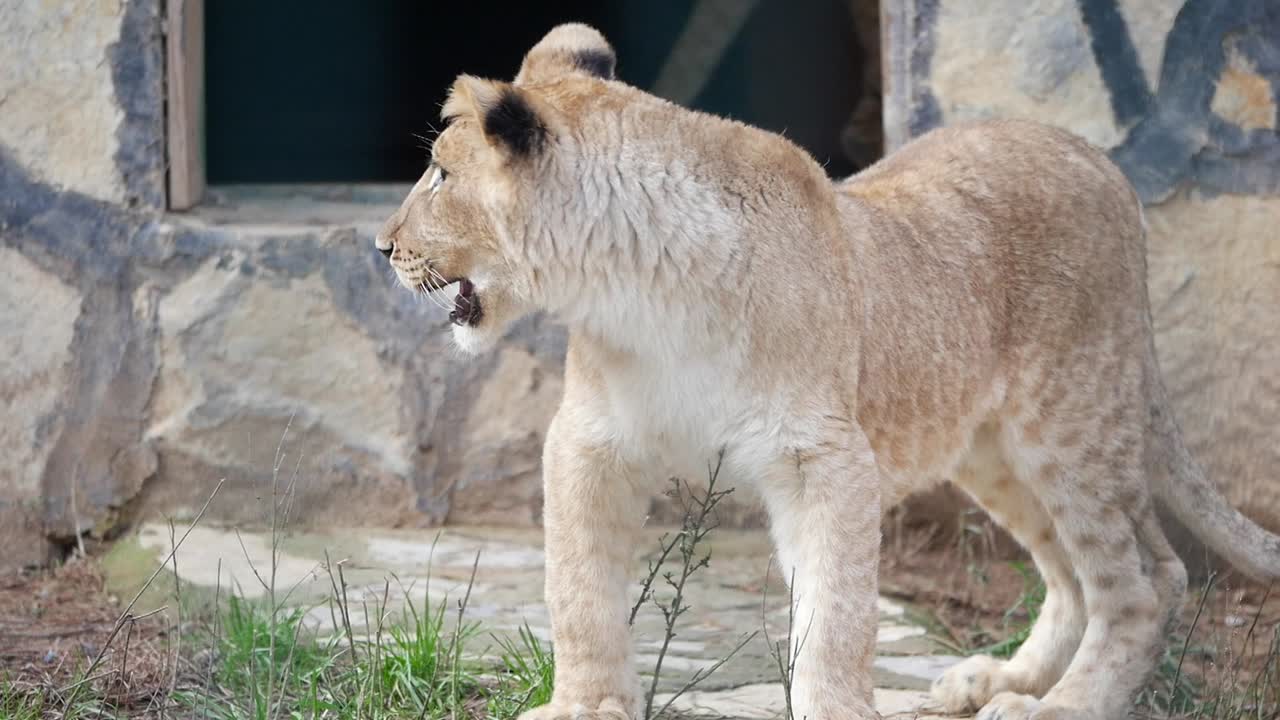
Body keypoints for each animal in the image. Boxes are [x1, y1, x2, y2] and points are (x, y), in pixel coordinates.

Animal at [374, 23, 1280, 720]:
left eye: (441, 174)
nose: (382, 246)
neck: (639, 284)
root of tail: (1098, 159)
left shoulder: (827, 457)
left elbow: (838, 612)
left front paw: (837, 705)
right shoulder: (591, 442)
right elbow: (578, 592)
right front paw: (585, 706)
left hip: (1070, 422)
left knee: (1148, 578)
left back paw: (1057, 706)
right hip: (994, 447)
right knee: (1072, 575)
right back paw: (997, 680)